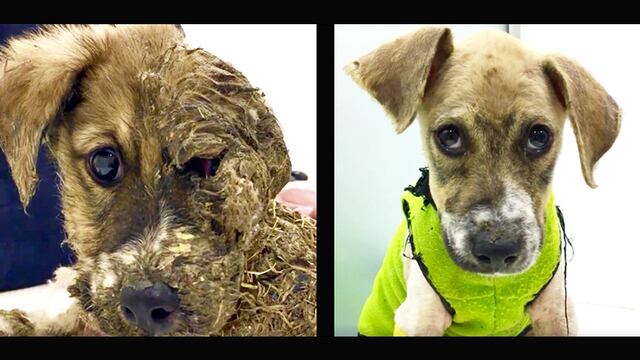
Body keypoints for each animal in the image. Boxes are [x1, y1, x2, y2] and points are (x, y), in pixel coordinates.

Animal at [348, 26, 624, 336]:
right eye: (449, 135)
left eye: (539, 136)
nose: (497, 250)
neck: (493, 285)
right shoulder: (419, 318)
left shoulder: (557, 314)